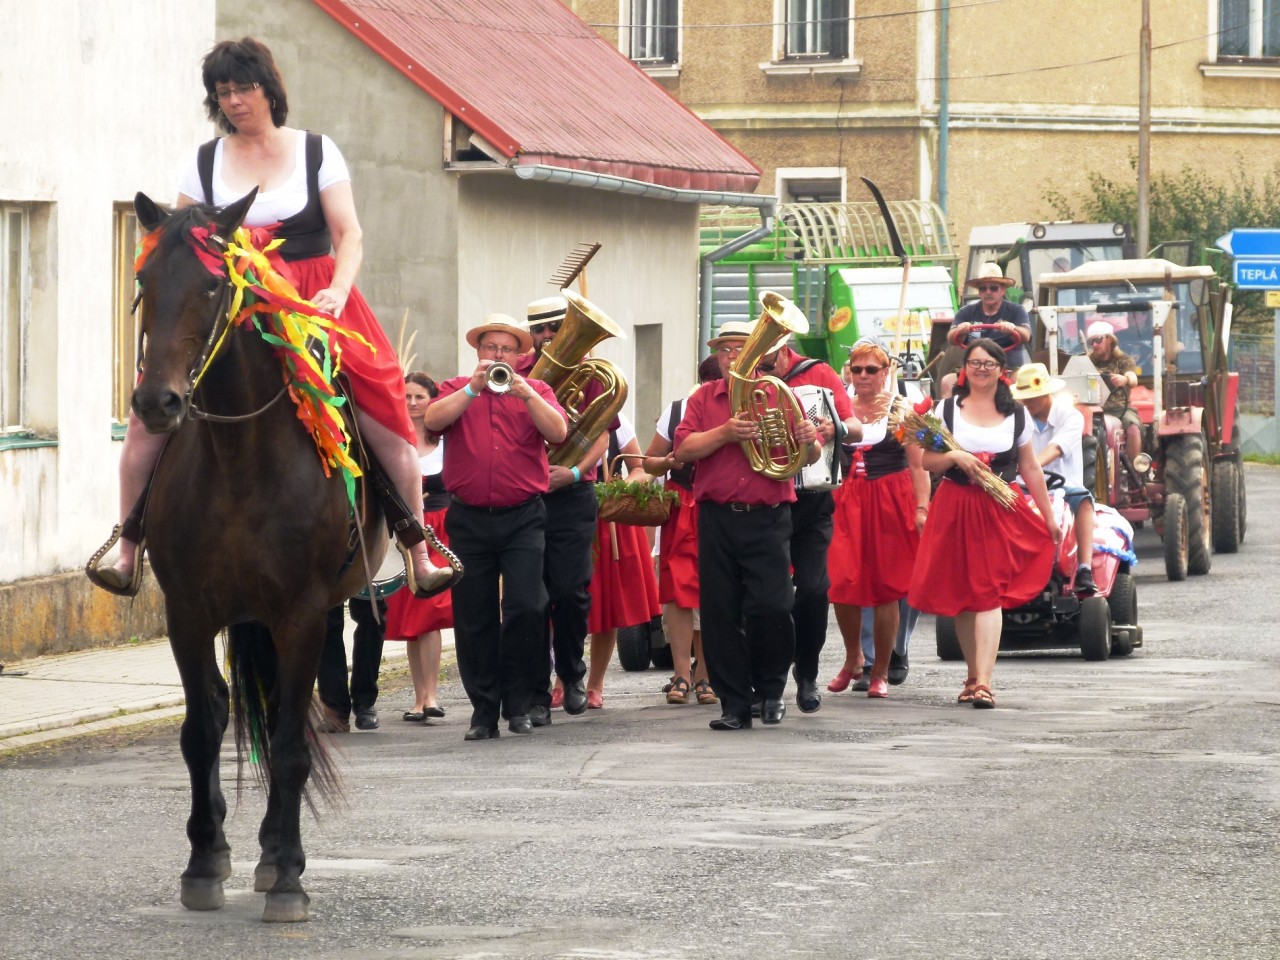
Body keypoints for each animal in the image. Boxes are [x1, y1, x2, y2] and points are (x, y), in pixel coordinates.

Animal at [129, 189, 386, 923]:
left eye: (214, 285)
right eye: (143, 281)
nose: (156, 403)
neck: (240, 461)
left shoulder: (300, 613)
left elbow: (293, 745)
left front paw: (291, 876)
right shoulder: (188, 614)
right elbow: (201, 728)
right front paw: (203, 864)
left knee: (284, 723)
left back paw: (276, 858)